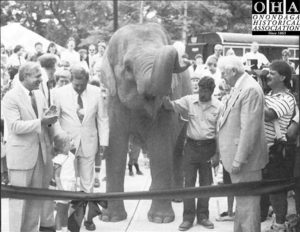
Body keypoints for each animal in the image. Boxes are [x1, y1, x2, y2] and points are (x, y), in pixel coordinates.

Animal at [98, 23, 192, 223]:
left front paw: (160, 220)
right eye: (127, 67)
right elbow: (116, 147)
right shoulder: (114, 102)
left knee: (177, 151)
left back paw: (176, 198)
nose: (185, 58)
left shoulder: (165, 111)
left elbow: (160, 147)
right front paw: (111, 218)